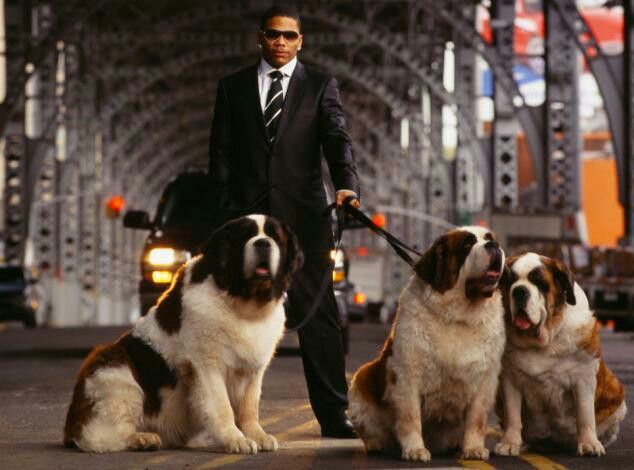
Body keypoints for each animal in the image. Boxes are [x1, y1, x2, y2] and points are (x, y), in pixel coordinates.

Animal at [63, 215, 302, 454]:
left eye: (275, 237)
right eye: (245, 236)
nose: (262, 243)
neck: (244, 305)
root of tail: (70, 425)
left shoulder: (253, 368)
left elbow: (249, 406)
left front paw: (257, 435)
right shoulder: (205, 364)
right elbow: (221, 405)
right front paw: (235, 440)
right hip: (115, 373)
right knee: (99, 437)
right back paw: (143, 439)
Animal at [346, 227, 504, 462]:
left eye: (489, 238)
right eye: (467, 245)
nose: (494, 246)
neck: (459, 316)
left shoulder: (485, 380)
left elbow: (476, 418)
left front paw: (473, 448)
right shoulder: (407, 376)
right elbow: (410, 417)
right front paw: (415, 450)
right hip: (360, 381)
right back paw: (376, 444)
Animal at [494, 253, 624, 456]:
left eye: (539, 282)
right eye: (510, 281)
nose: (520, 291)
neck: (544, 342)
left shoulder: (584, 378)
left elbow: (585, 414)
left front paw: (589, 444)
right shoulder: (510, 380)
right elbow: (513, 416)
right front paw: (510, 443)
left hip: (616, 391)